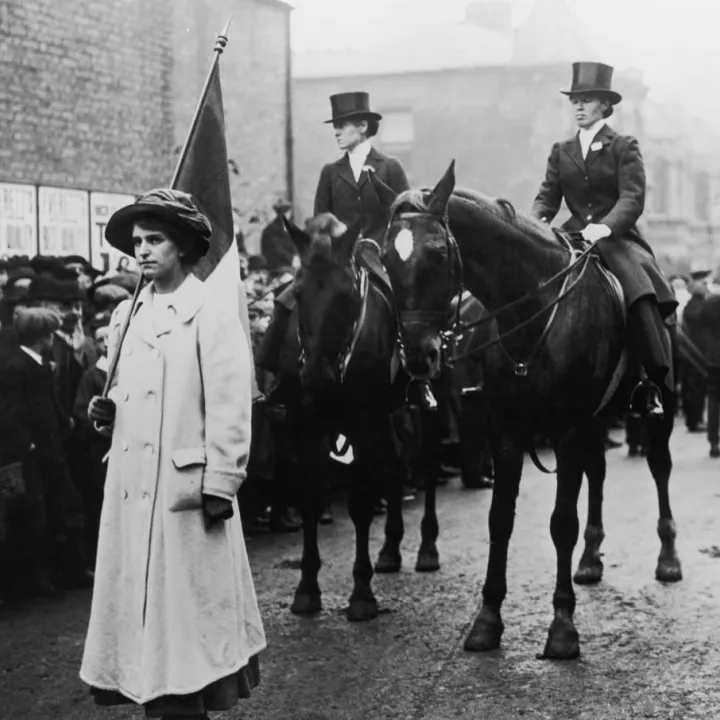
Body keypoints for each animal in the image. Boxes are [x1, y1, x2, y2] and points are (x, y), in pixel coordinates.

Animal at [282, 211, 442, 620]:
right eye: (299, 292)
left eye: (347, 295)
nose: (316, 378)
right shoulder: (304, 428)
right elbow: (310, 499)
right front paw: (306, 589)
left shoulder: (362, 425)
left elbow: (359, 504)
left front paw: (361, 593)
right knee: (396, 468)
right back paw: (389, 549)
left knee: (425, 468)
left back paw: (427, 548)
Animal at [374, 163, 684, 660]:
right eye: (386, 256)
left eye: (439, 254)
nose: (419, 356)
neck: (536, 308)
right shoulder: (509, 430)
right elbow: (500, 518)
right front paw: (486, 620)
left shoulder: (567, 430)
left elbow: (561, 523)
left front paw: (562, 627)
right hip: (595, 420)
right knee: (598, 474)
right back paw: (591, 558)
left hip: (660, 407)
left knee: (659, 467)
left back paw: (668, 557)